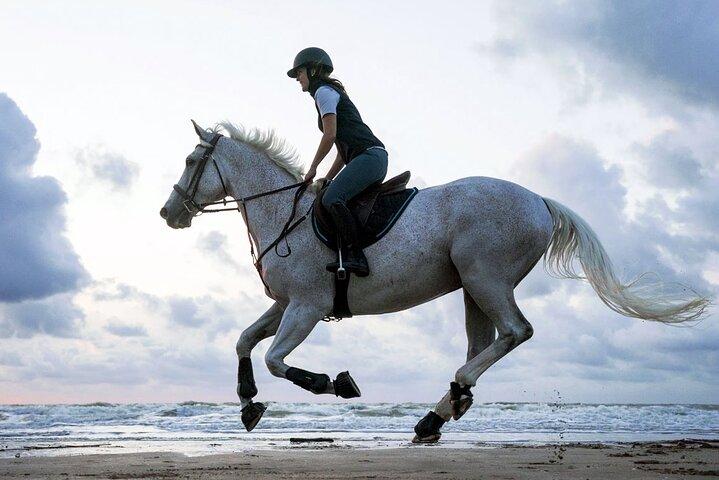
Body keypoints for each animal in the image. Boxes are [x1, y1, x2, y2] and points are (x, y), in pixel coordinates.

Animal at [160, 120, 709, 442]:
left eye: (189, 162)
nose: (168, 213)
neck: (283, 214)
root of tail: (539, 200)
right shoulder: (285, 305)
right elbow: (244, 340)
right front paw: (248, 402)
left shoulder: (307, 307)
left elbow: (276, 359)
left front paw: (333, 383)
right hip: (471, 287)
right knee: (484, 343)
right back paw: (445, 408)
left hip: (485, 277)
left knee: (515, 332)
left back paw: (442, 407)